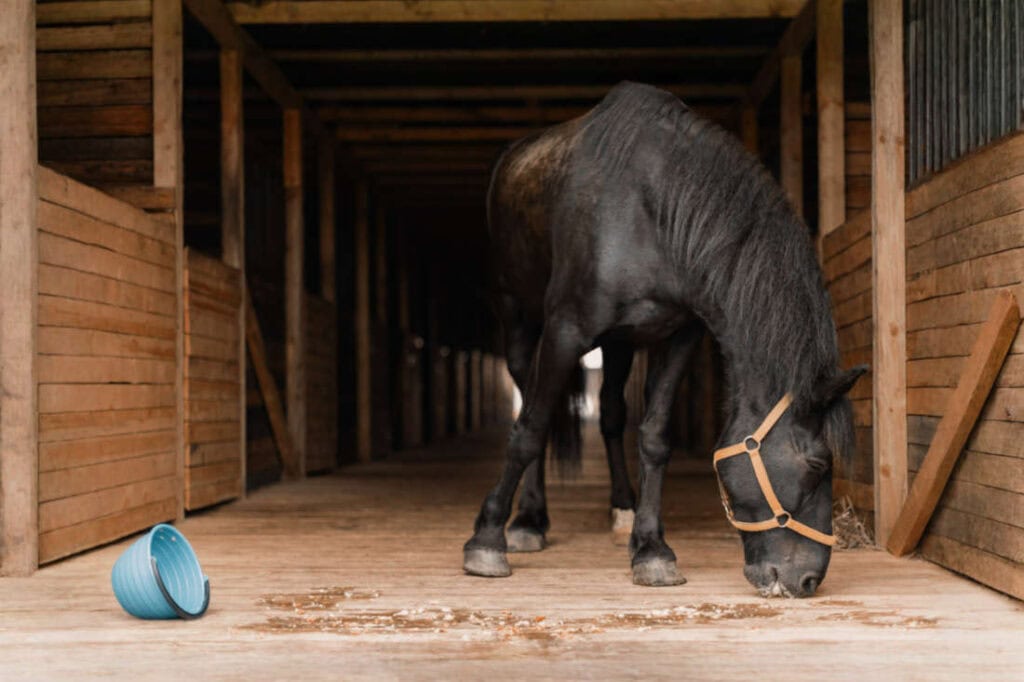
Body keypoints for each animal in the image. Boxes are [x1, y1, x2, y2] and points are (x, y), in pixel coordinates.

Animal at [463, 82, 865, 598]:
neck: (648, 214)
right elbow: (530, 428)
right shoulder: (564, 330)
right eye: (816, 465)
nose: (808, 580)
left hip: (618, 343)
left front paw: (652, 550)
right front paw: (486, 539)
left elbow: (654, 438)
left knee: (611, 415)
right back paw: (528, 521)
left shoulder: (679, 336)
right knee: (536, 409)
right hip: (518, 316)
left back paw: (621, 507)